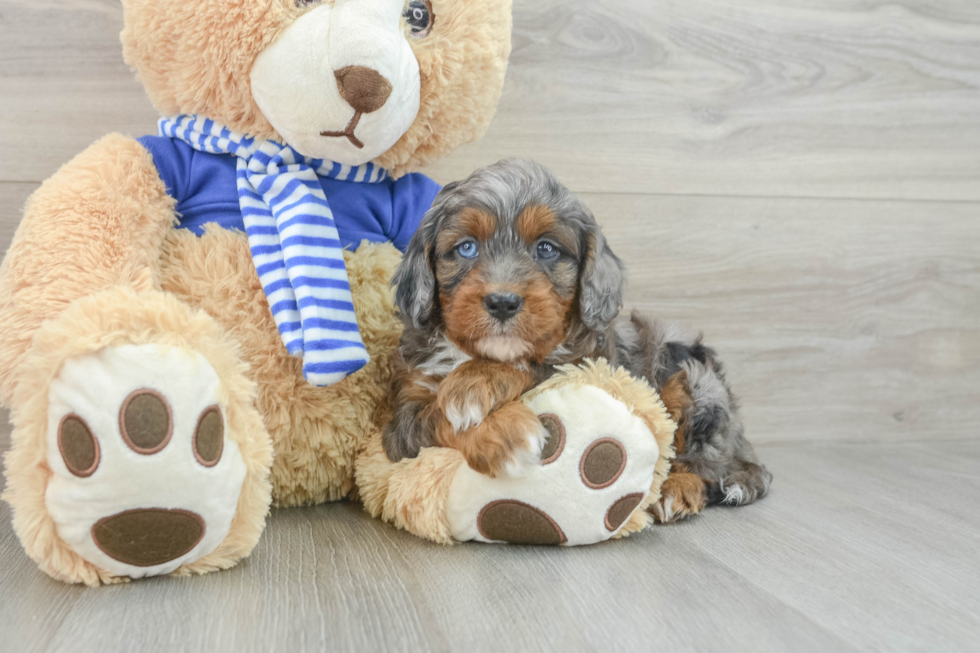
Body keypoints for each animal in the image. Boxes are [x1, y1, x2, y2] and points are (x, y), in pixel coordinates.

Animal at [382, 160, 772, 524]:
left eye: (546, 248)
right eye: (466, 248)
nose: (503, 302)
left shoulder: (591, 367)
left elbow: (537, 365)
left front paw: (474, 383)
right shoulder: (403, 421)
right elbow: (434, 416)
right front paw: (505, 433)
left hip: (693, 378)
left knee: (706, 463)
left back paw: (676, 489)